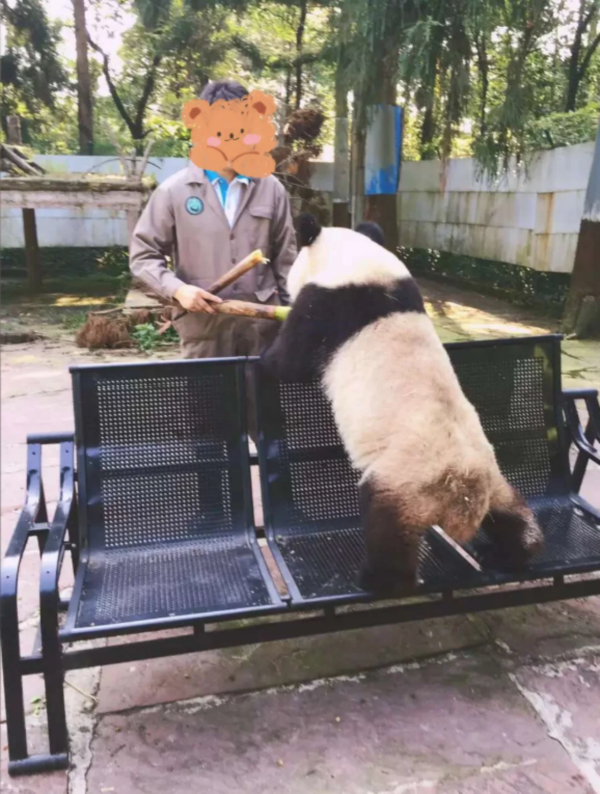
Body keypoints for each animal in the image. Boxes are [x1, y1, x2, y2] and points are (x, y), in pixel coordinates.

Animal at [261, 214, 544, 593]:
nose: (283, 291)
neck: (357, 264)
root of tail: (462, 497)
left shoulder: (328, 306)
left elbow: (290, 362)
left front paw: (264, 358)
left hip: (406, 482)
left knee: (387, 527)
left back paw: (377, 580)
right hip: (491, 475)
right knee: (510, 511)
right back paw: (513, 550)